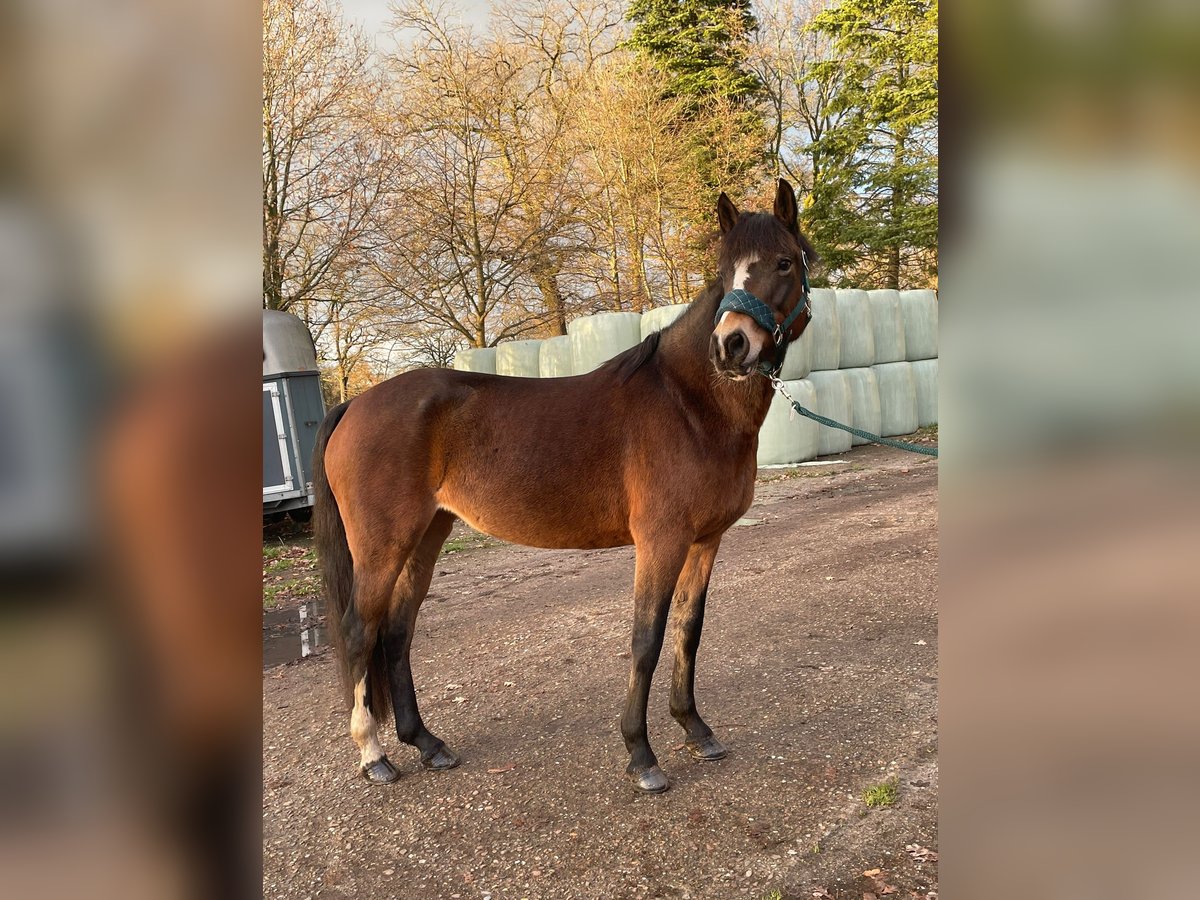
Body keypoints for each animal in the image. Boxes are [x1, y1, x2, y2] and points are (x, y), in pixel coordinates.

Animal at [312, 180, 816, 792]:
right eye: (726, 270)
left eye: (784, 262)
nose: (732, 346)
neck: (689, 404)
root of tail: (355, 403)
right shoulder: (661, 541)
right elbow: (646, 639)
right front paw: (641, 754)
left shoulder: (705, 540)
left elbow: (688, 631)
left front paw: (696, 729)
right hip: (383, 546)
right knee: (359, 634)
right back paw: (374, 755)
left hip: (427, 536)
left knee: (395, 634)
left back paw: (428, 744)